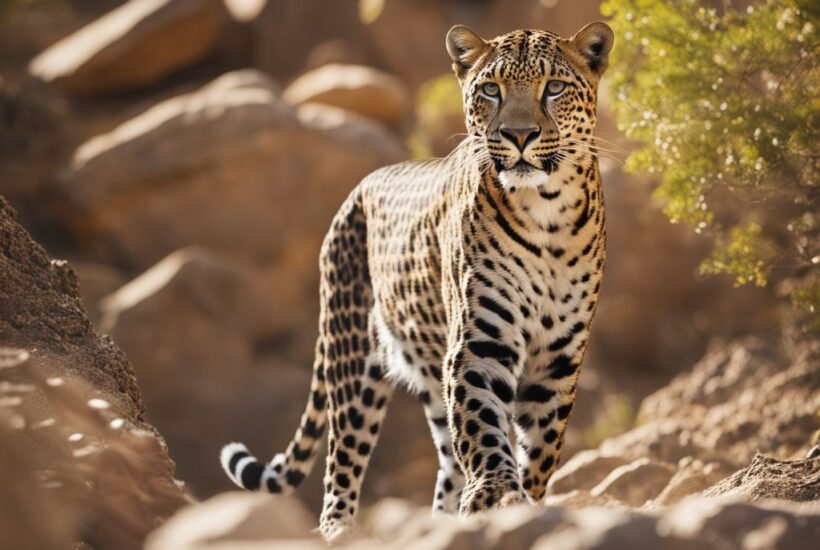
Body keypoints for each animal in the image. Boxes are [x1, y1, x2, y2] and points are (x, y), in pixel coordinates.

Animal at [221, 20, 612, 544]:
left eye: (553, 88)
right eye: (491, 90)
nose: (519, 135)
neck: (545, 213)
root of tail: (358, 188)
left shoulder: (558, 356)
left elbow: (540, 446)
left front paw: (520, 504)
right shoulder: (480, 342)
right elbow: (484, 428)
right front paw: (496, 496)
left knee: (446, 459)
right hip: (351, 361)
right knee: (341, 461)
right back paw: (340, 530)